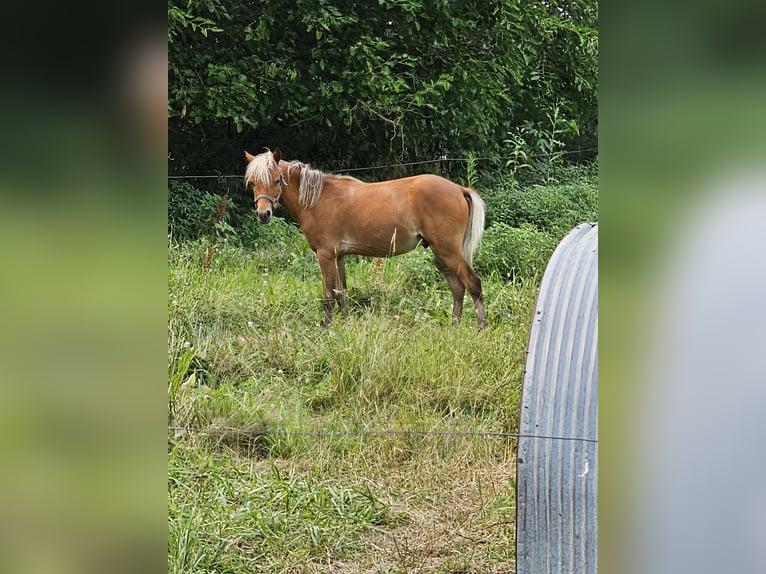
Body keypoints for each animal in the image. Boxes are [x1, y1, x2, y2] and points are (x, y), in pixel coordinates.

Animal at [246, 150, 488, 328]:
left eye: (277, 180)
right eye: (253, 182)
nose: (263, 214)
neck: (319, 199)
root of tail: (459, 188)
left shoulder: (325, 255)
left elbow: (328, 296)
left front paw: (327, 327)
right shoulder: (339, 256)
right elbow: (341, 293)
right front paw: (344, 325)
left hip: (448, 251)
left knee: (473, 283)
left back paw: (481, 328)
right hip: (441, 254)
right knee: (457, 288)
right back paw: (454, 326)